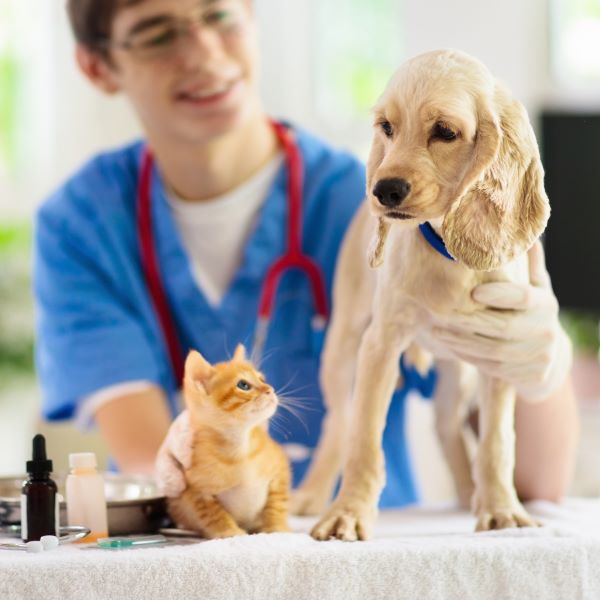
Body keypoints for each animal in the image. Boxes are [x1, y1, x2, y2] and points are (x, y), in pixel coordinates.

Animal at [168, 344, 292, 536]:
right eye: (243, 385)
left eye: (262, 379)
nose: (270, 389)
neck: (241, 450)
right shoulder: (194, 490)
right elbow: (213, 514)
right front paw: (229, 531)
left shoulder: (279, 469)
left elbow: (277, 504)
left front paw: (276, 528)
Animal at [292, 50, 552, 540]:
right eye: (387, 128)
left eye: (445, 132)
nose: (383, 190)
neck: (448, 255)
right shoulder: (379, 345)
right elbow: (363, 440)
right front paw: (347, 513)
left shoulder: (498, 354)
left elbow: (496, 442)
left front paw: (502, 509)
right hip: (342, 348)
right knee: (339, 422)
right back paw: (313, 494)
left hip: (457, 377)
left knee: (447, 428)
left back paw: (468, 493)